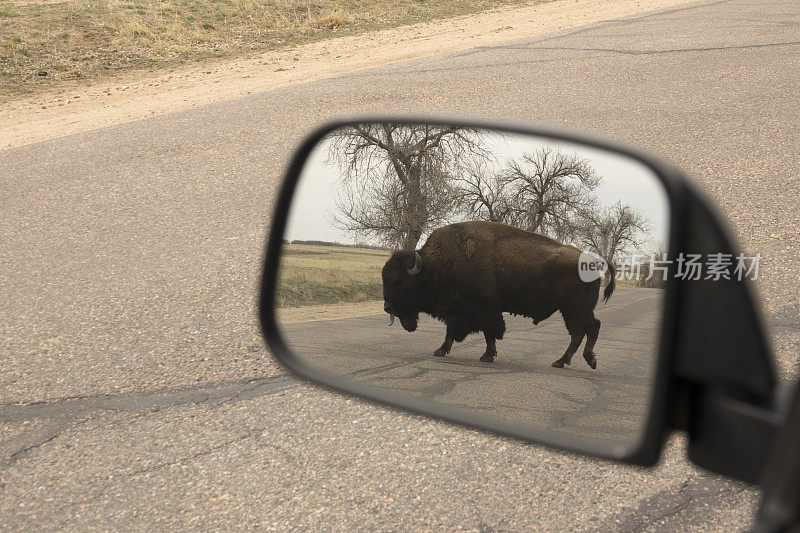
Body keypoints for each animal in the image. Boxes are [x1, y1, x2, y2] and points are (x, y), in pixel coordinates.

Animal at [380, 219, 612, 366]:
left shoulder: (486, 309)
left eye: (401, 284)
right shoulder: (457, 311)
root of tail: (594, 261)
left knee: (592, 328)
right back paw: (560, 361)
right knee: (578, 333)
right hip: (568, 310)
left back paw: (590, 360)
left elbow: (489, 332)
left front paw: (487, 356)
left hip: (577, 309)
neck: (434, 268)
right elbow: (451, 331)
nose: (387, 307)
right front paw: (440, 350)